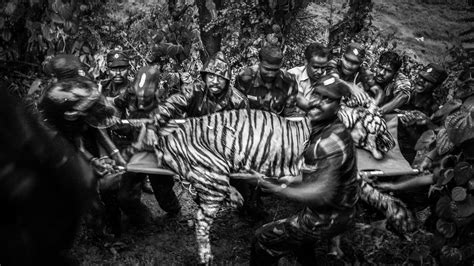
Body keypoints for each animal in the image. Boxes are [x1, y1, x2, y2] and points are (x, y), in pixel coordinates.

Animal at [149, 108, 412, 264]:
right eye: (384, 125)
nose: (392, 144)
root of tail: (166, 139)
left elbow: (366, 195)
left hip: (212, 177)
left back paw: (236, 197)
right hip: (214, 175)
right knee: (202, 220)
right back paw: (206, 255)